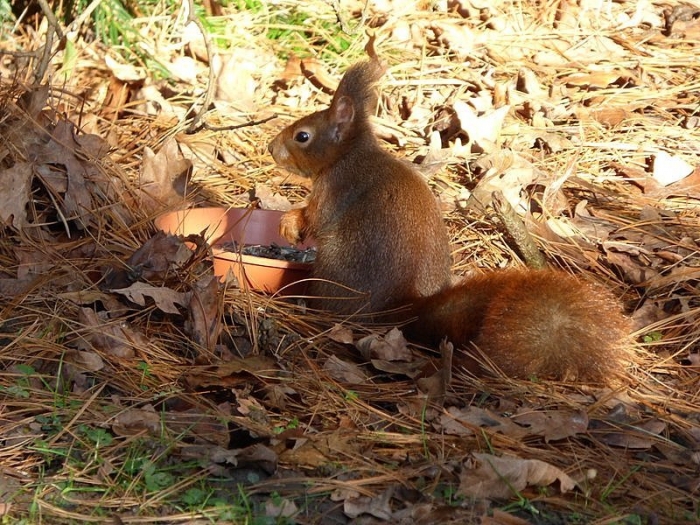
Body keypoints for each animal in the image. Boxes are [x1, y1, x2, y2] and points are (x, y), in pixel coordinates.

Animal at [268, 58, 631, 383]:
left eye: (302, 136)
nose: (271, 147)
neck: (348, 154)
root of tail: (401, 308)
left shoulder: (335, 188)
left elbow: (315, 219)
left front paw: (289, 221)